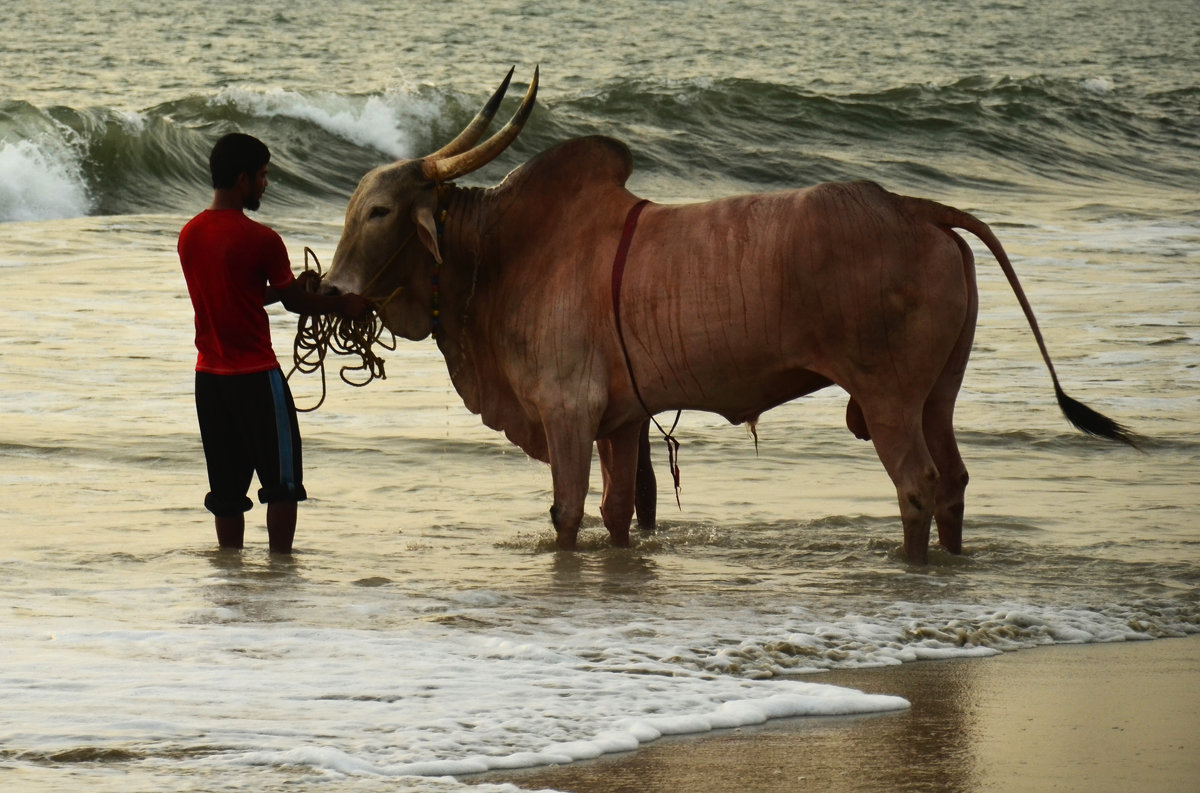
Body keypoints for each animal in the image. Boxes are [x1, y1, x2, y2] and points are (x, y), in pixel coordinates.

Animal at [321, 68, 1132, 563]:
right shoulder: (620, 421)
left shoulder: (567, 412)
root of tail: (914, 207)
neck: (502, 254)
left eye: (381, 211)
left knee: (919, 486)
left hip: (890, 398)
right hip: (939, 393)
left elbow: (566, 514)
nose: (327, 291)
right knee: (957, 482)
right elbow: (619, 511)